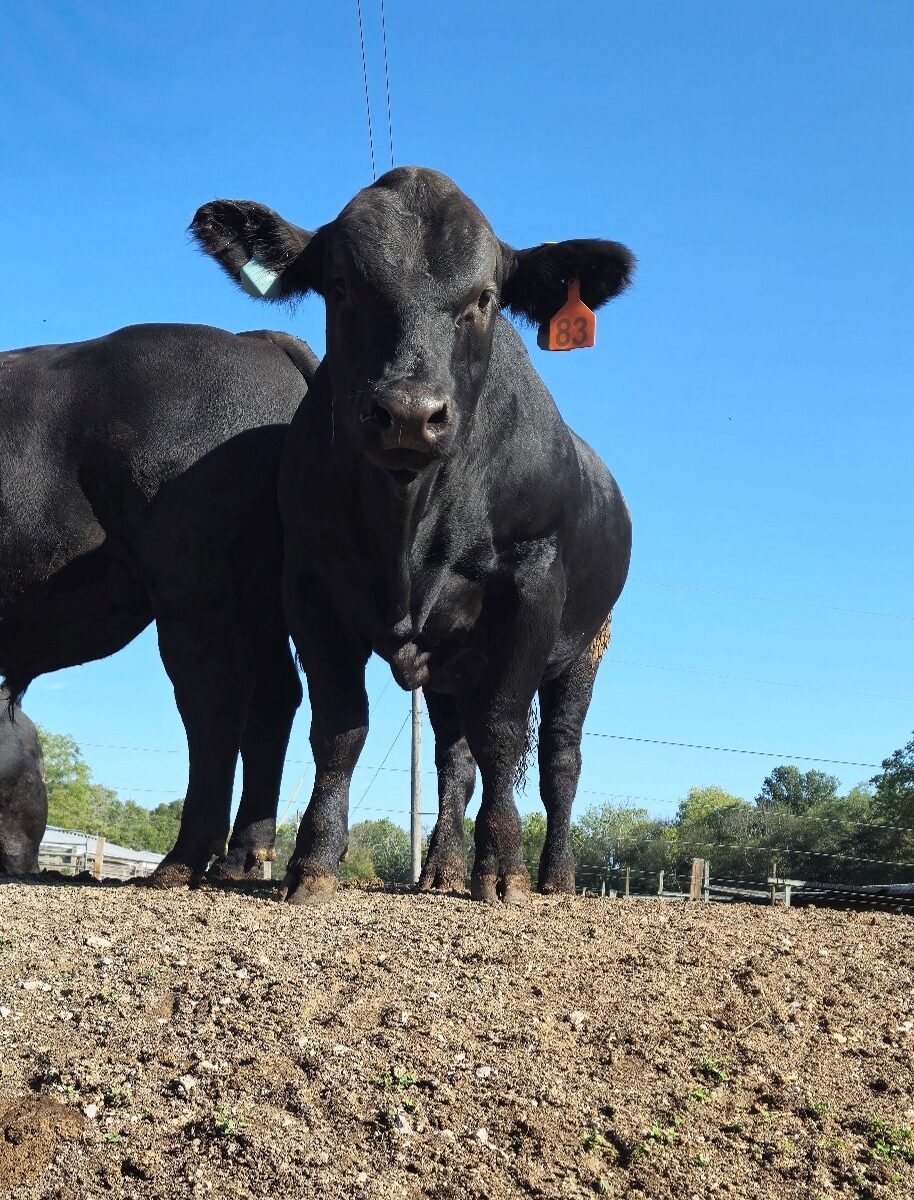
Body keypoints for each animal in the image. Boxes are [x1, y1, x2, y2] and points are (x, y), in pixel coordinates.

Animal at [191, 167, 633, 905]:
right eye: (340, 285)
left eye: (484, 297)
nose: (407, 412)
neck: (410, 520)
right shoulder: (308, 584)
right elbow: (340, 726)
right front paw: (315, 859)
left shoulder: (531, 580)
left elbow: (503, 729)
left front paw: (505, 867)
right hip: (453, 667)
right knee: (455, 758)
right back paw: (442, 867)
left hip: (584, 648)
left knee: (560, 759)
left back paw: (555, 874)